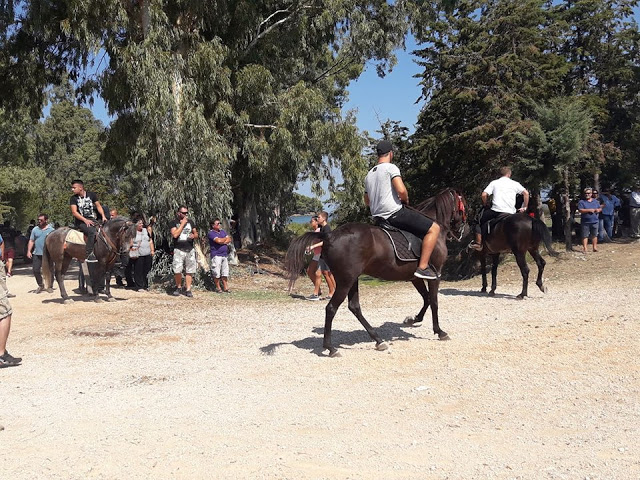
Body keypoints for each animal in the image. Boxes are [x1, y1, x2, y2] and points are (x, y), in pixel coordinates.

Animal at [284, 188, 464, 356]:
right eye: (463, 204)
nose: (463, 227)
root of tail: (329, 236)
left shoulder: (416, 277)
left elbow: (426, 298)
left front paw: (413, 319)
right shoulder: (435, 275)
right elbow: (434, 301)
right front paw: (439, 331)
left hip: (352, 279)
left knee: (354, 307)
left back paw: (378, 340)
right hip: (345, 281)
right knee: (331, 308)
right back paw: (331, 347)